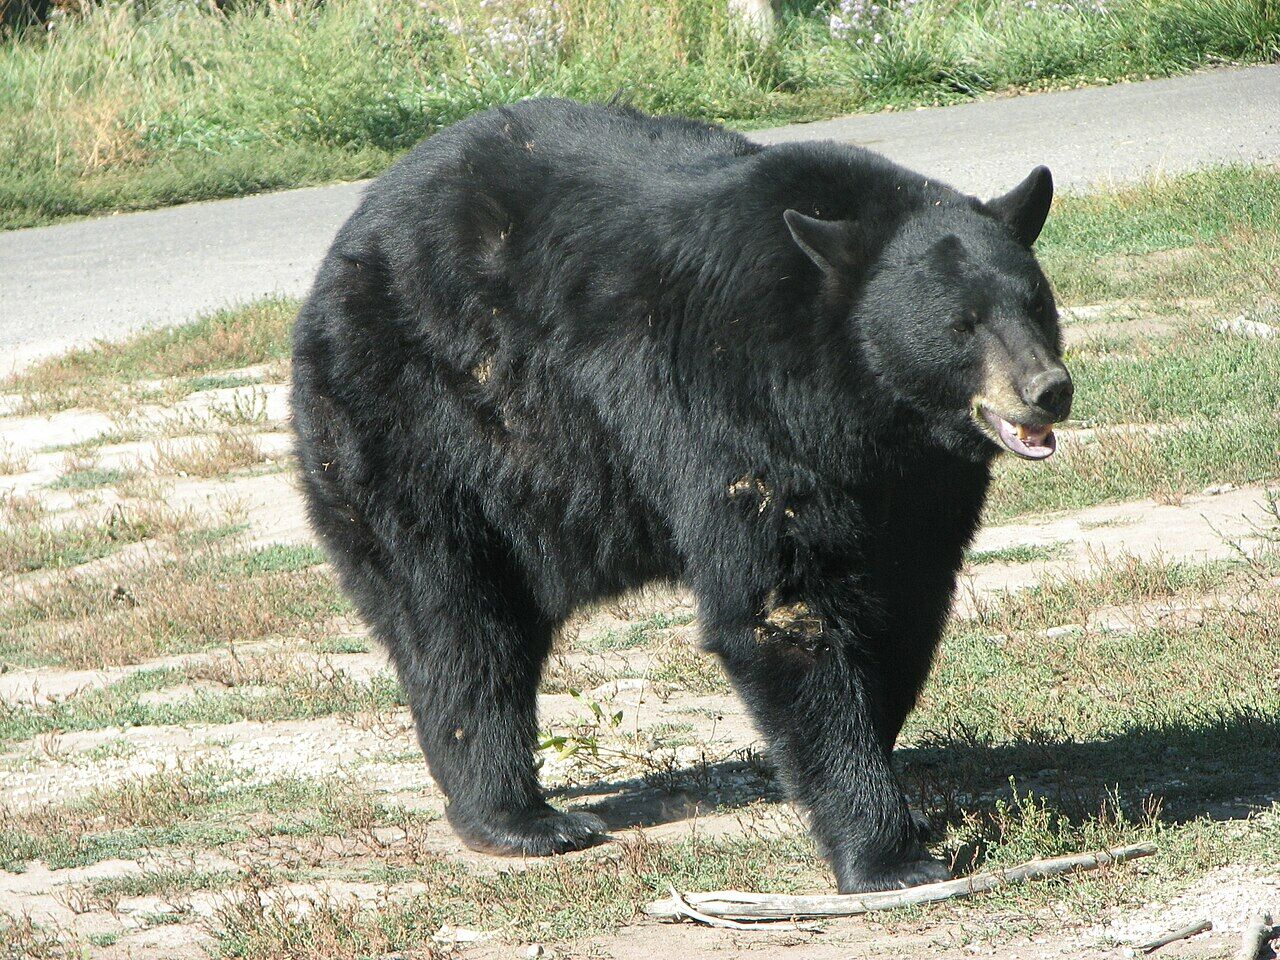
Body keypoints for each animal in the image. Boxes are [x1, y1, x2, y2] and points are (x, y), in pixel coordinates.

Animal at [290, 97, 1073, 893]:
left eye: (1036, 301)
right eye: (961, 325)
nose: (1048, 389)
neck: (862, 404)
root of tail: (349, 239)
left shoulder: (919, 482)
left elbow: (907, 601)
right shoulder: (740, 410)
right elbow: (782, 608)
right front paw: (885, 852)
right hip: (418, 425)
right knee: (458, 622)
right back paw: (520, 817)